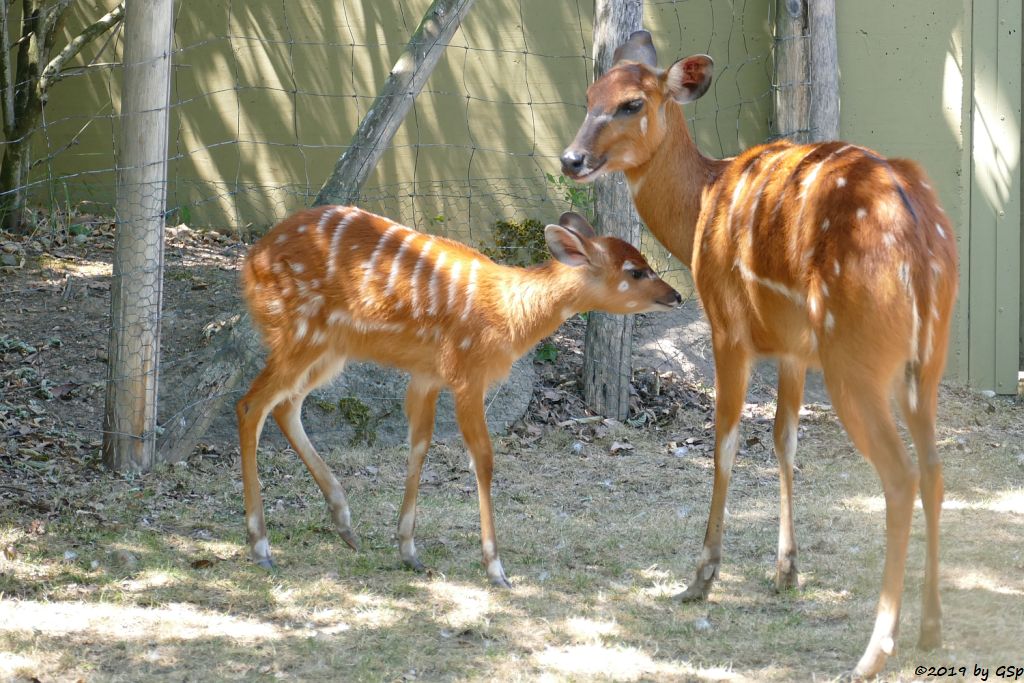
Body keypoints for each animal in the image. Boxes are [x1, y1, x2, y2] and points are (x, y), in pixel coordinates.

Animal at [234, 206, 675, 589]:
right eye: (635, 271)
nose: (676, 296)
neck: (510, 313)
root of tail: (251, 262)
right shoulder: (467, 375)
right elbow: (483, 459)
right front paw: (496, 570)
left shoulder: (428, 374)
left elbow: (420, 444)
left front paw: (409, 552)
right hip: (301, 334)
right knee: (251, 404)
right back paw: (261, 546)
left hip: (330, 350)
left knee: (286, 406)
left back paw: (344, 525)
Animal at [565, 31, 954, 679]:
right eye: (590, 93)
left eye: (630, 104)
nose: (571, 159)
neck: (703, 203)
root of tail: (921, 245)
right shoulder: (794, 349)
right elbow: (783, 441)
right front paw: (786, 572)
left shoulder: (729, 329)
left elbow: (723, 443)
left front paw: (700, 577)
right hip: (924, 362)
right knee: (934, 469)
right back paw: (929, 629)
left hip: (856, 360)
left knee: (900, 476)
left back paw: (874, 650)